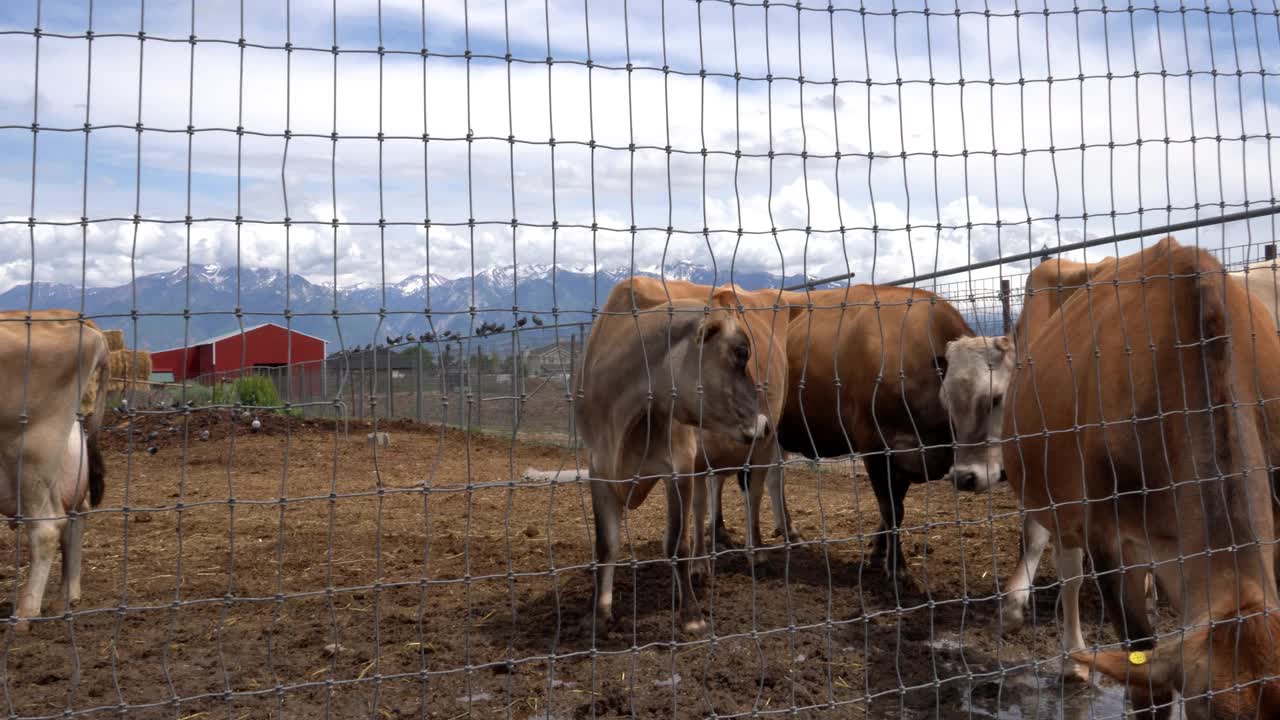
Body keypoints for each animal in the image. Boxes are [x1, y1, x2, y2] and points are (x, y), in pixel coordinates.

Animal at [573, 285, 768, 632]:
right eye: (741, 352)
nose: (761, 423)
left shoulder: (678, 466)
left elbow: (677, 544)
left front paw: (691, 615)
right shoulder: (598, 468)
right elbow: (606, 544)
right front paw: (598, 613)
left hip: (762, 454)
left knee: (753, 497)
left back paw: (751, 553)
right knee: (704, 504)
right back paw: (702, 566)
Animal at [768, 283, 988, 579]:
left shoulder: (908, 454)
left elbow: (894, 507)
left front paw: (878, 553)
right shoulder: (874, 441)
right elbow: (892, 508)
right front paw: (896, 567)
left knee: (773, 478)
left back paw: (791, 534)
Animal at [1003, 235, 1280, 712]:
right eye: (1210, 711)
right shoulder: (1110, 539)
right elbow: (1145, 675)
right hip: (1058, 500)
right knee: (1070, 574)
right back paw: (1072, 662)